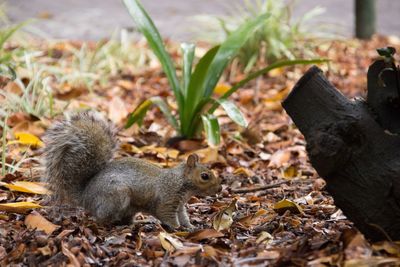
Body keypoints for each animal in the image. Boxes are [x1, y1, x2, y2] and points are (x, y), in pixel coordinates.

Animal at [43, 112, 222, 229]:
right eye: (205, 176)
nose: (220, 188)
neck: (180, 181)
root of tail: (85, 196)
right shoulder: (167, 200)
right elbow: (166, 215)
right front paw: (177, 229)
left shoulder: (179, 205)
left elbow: (183, 217)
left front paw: (190, 227)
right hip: (117, 195)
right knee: (101, 219)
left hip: (129, 208)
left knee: (126, 219)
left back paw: (140, 222)